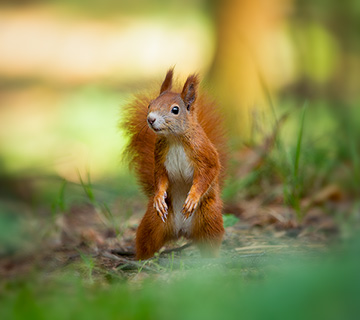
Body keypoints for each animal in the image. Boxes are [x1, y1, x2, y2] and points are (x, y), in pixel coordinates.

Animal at [121, 68, 228, 260]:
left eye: (175, 110)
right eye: (150, 104)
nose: (150, 119)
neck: (175, 139)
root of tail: (182, 231)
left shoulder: (204, 153)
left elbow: (208, 173)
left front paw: (193, 197)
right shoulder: (160, 158)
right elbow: (160, 177)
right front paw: (158, 196)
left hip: (209, 218)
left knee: (210, 241)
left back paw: (211, 262)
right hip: (153, 222)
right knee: (146, 241)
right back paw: (142, 261)